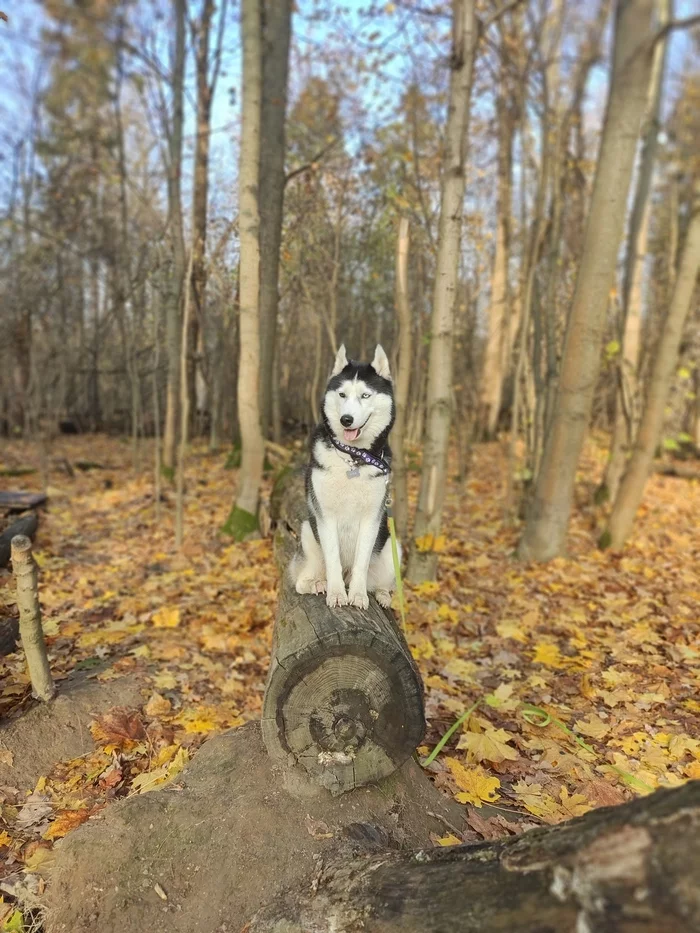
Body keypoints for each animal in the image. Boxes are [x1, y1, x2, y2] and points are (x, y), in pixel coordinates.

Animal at [292, 346, 396, 608]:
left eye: (365, 395)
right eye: (342, 394)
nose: (346, 419)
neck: (353, 458)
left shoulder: (372, 519)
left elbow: (361, 561)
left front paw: (357, 594)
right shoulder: (325, 517)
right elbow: (333, 560)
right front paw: (337, 592)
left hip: (393, 548)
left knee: (381, 584)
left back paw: (382, 595)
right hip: (308, 531)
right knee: (301, 582)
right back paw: (318, 584)